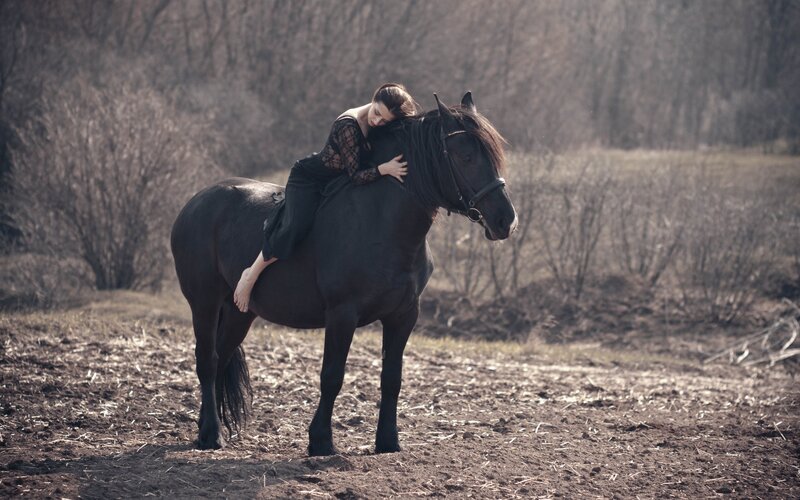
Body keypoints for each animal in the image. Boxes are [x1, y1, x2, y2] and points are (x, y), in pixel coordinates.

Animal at [170, 92, 518, 456]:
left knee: (221, 357)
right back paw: (211, 434)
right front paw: (321, 441)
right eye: (466, 156)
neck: (380, 222)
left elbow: (392, 378)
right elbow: (332, 376)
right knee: (207, 360)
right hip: (204, 303)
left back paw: (207, 429)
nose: (506, 220)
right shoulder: (342, 314)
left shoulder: (404, 315)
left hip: (240, 312)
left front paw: (388, 441)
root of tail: (196, 202)